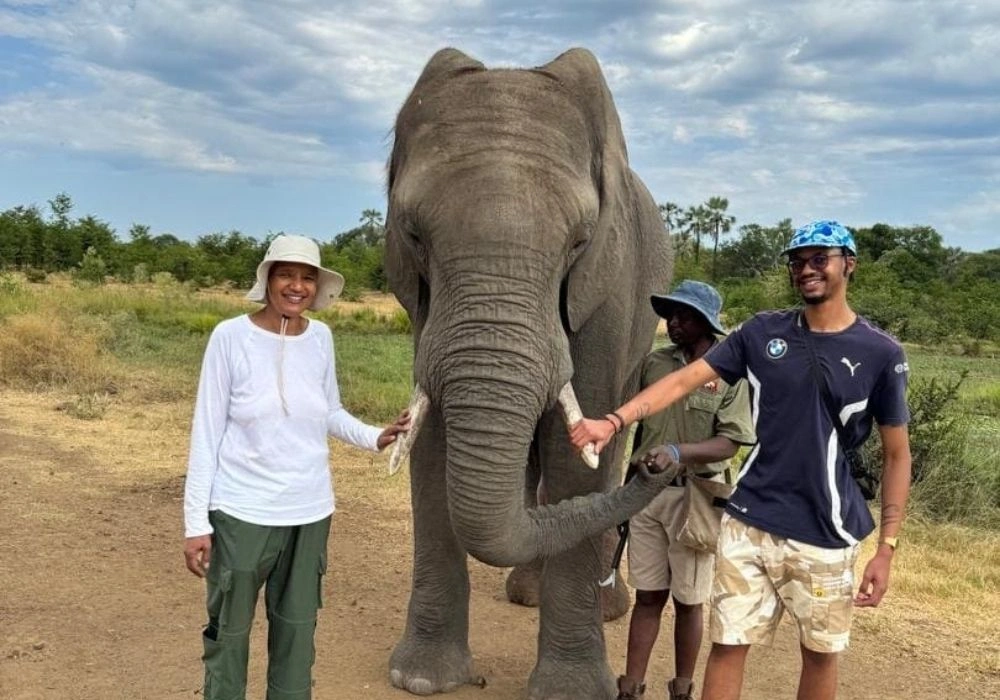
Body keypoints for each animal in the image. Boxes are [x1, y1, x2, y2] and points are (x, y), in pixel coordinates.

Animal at [383, 47, 674, 699]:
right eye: (413, 234)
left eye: (580, 241)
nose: (661, 465)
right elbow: (432, 446)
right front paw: (421, 679)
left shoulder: (609, 283)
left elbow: (577, 457)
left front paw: (569, 691)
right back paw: (525, 593)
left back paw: (603, 606)